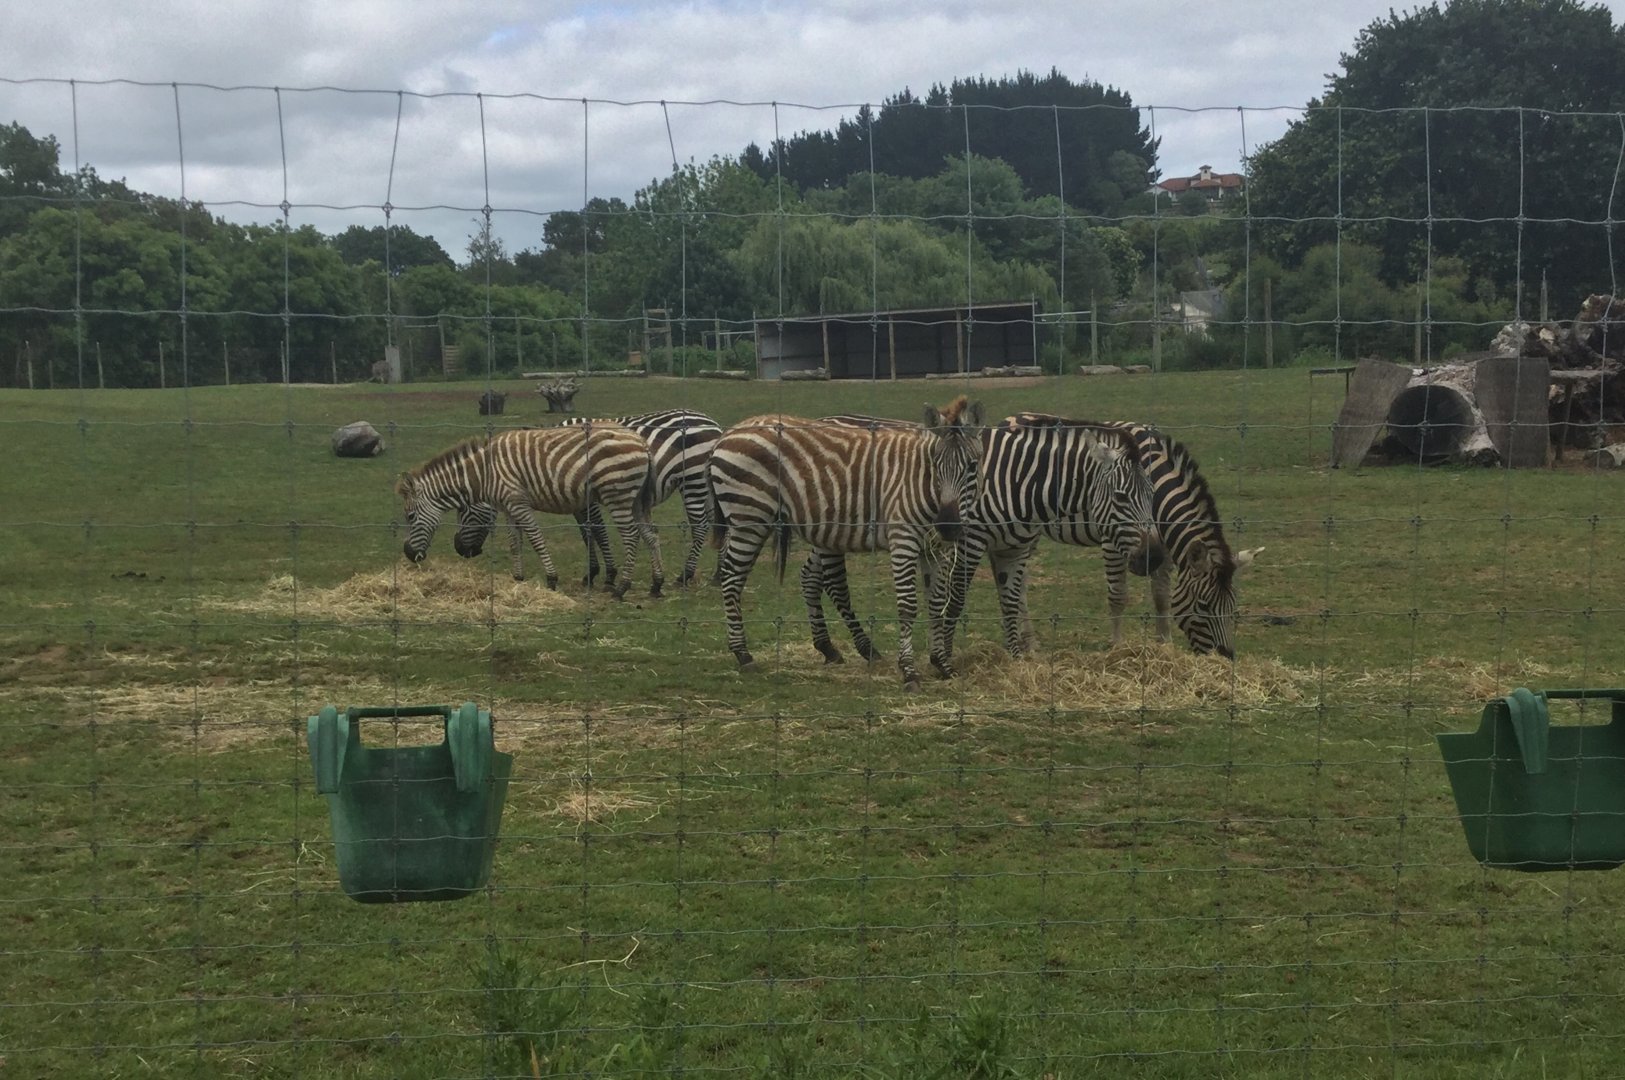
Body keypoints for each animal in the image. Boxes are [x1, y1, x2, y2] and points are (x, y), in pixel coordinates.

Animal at [396, 422, 665, 600]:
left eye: (410, 517)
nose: (408, 553)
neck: (485, 473)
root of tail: (642, 443)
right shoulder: (508, 507)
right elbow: (515, 543)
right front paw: (518, 578)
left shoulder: (518, 502)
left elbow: (536, 539)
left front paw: (551, 579)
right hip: (637, 500)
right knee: (650, 535)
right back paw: (656, 584)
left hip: (618, 495)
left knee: (631, 537)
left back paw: (622, 587)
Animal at [560, 409, 723, 590]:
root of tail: (714, 425)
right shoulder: (576, 502)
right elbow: (585, 532)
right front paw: (592, 572)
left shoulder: (588, 497)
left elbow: (598, 531)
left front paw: (608, 574)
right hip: (708, 485)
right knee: (720, 523)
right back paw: (718, 574)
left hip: (693, 479)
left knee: (701, 526)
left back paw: (685, 575)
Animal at [707, 397, 985, 690]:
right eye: (935, 465)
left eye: (972, 466)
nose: (948, 526)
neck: (921, 484)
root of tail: (730, 431)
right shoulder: (903, 539)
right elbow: (908, 606)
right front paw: (909, 671)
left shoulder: (935, 549)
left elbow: (936, 603)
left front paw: (941, 663)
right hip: (750, 517)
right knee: (732, 578)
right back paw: (743, 654)